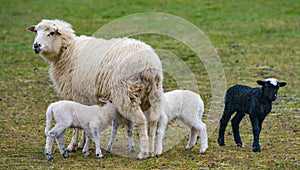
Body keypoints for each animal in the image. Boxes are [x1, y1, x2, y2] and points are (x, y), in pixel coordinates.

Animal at [27, 19, 164, 159]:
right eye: (36, 31)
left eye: (51, 33)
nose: (36, 46)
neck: (68, 51)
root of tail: (148, 64)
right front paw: (81, 144)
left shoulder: (76, 96)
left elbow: (76, 127)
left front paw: (73, 145)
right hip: (152, 94)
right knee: (153, 121)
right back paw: (152, 151)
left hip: (126, 94)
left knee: (141, 120)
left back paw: (144, 152)